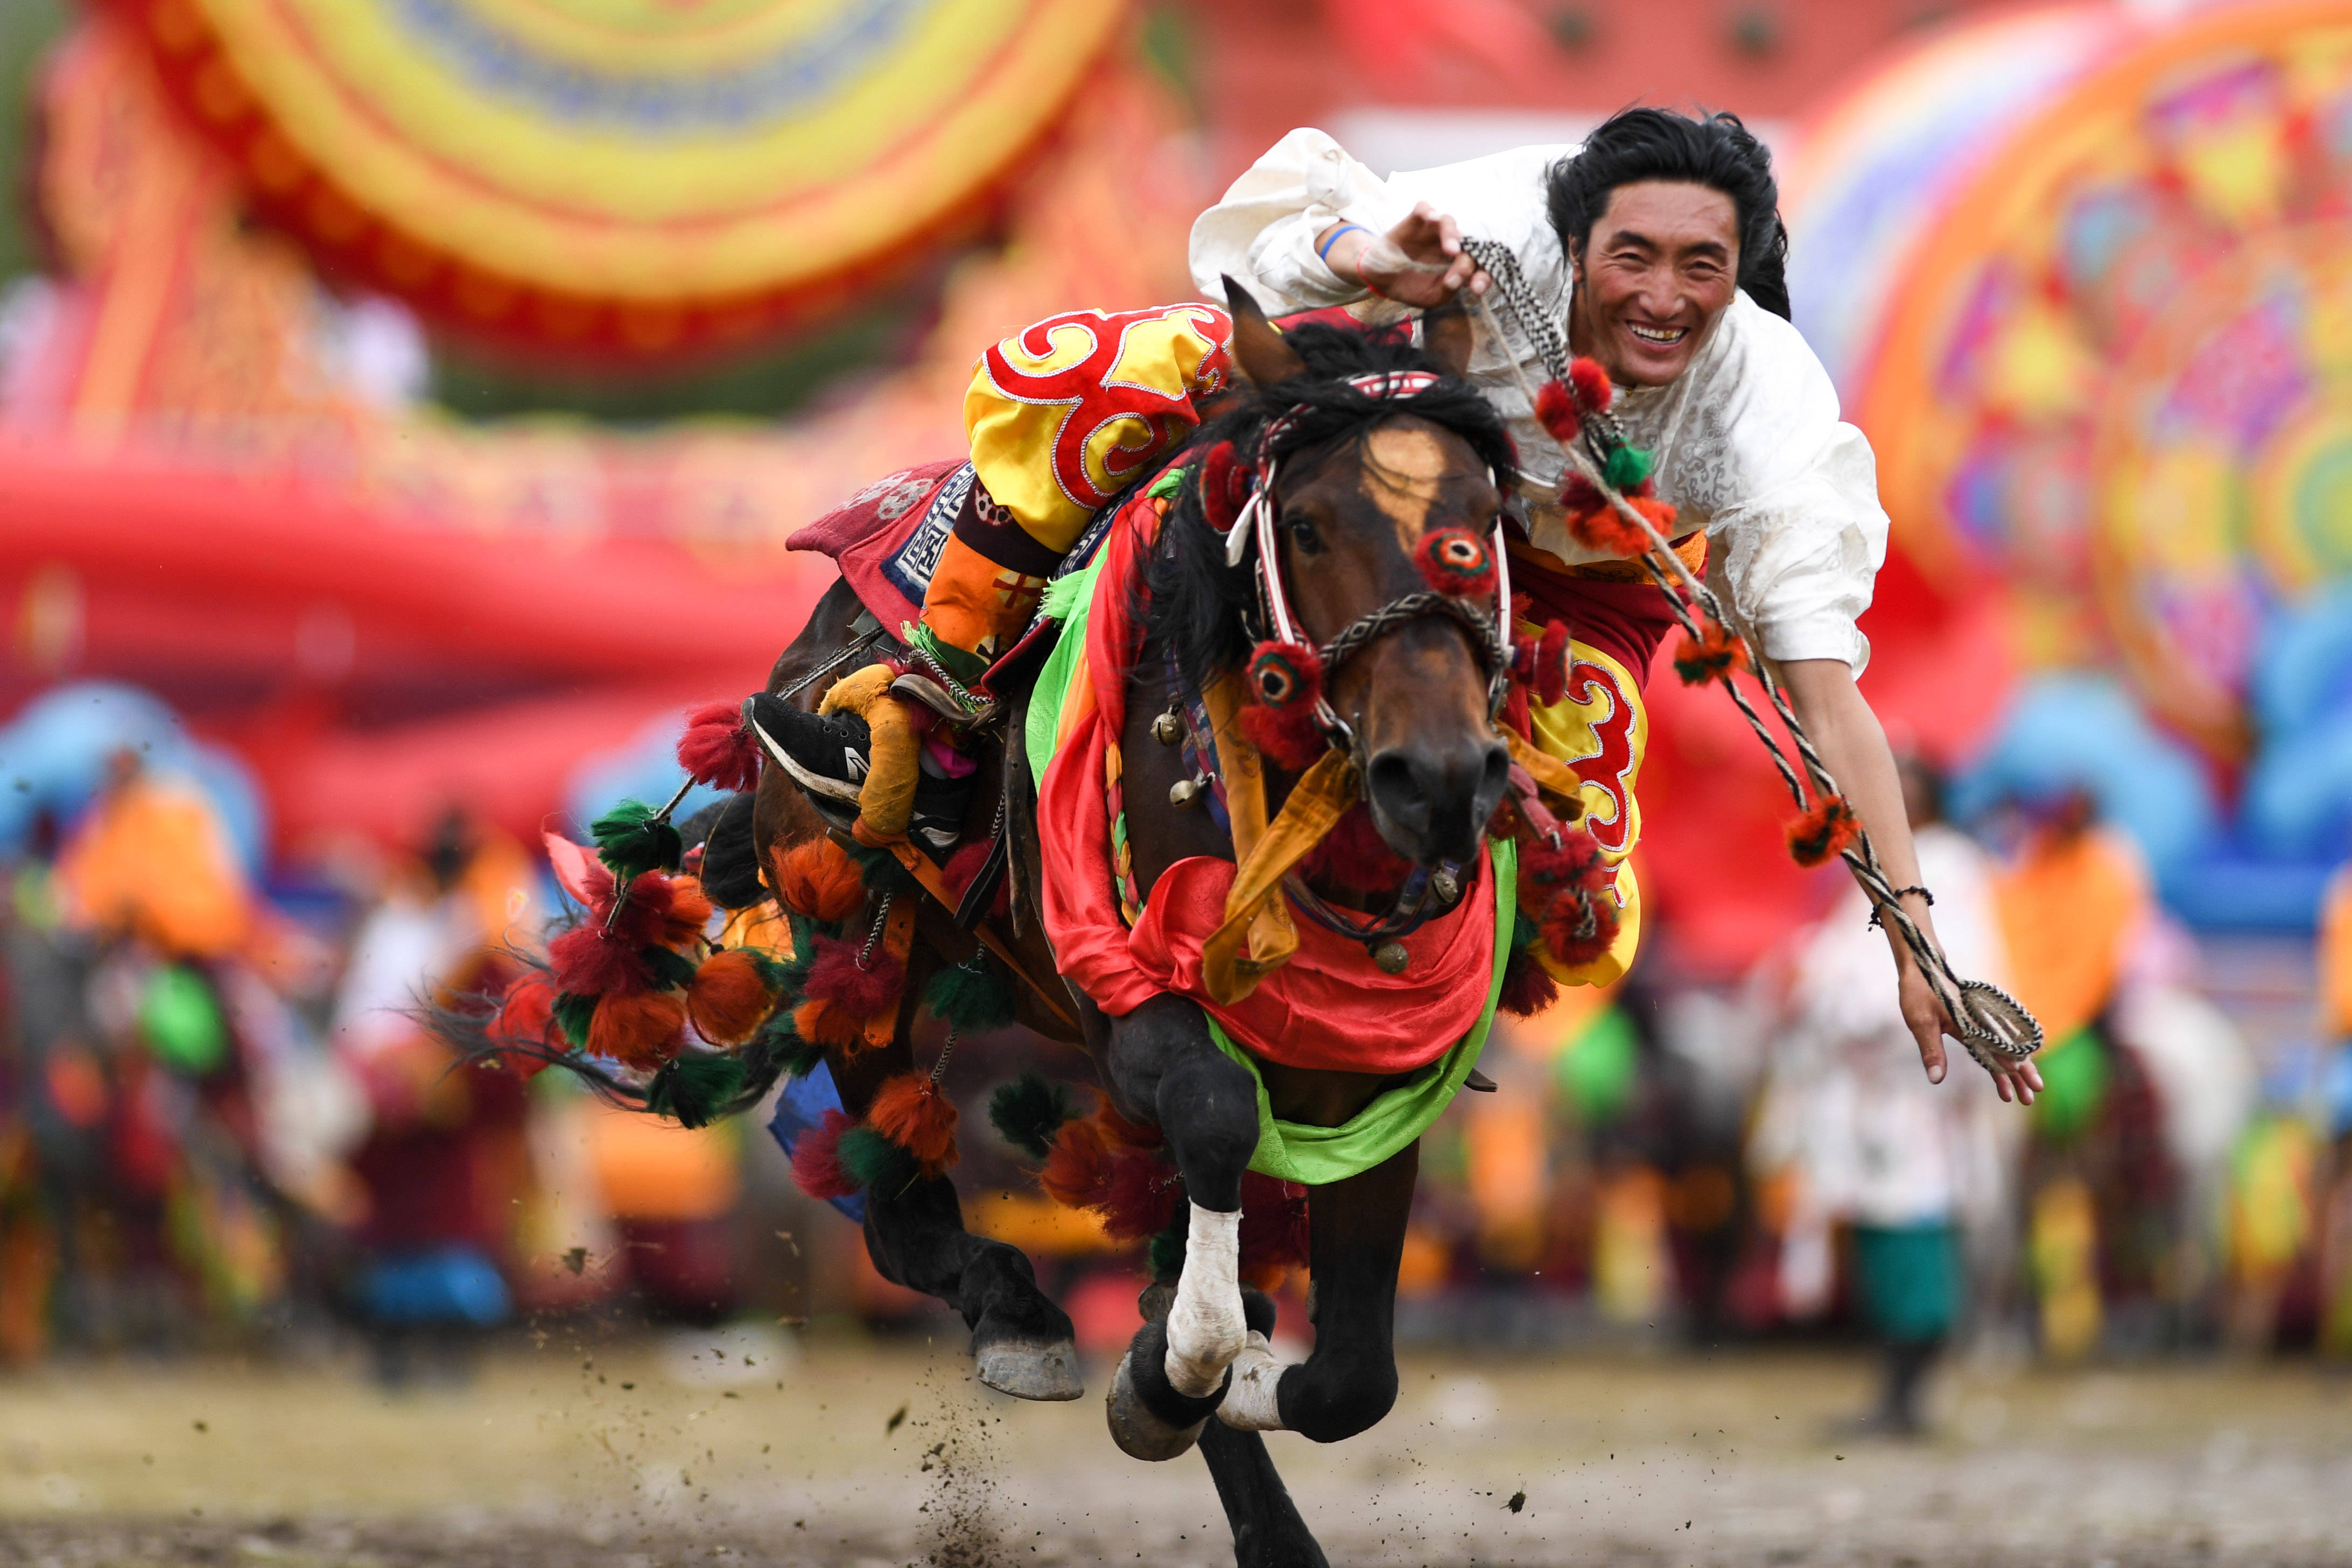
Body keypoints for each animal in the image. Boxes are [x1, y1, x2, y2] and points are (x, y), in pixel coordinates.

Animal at [748, 285, 1524, 1568]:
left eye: (1486, 520)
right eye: (1305, 527)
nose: (1440, 778)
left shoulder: (1374, 1074)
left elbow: (1350, 1378)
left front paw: (1212, 1362)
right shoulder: (1128, 1002)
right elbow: (1210, 1114)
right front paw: (1176, 1368)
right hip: (856, 951)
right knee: (899, 1215)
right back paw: (1018, 1315)